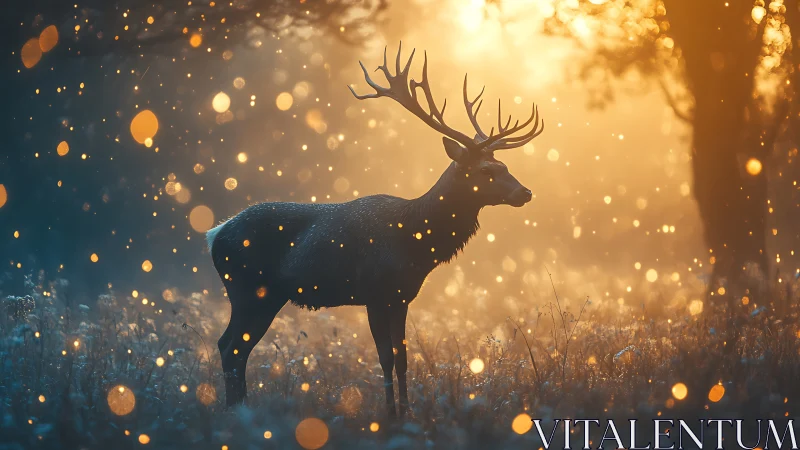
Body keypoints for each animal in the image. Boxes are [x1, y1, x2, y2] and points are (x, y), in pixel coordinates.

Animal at [206, 43, 543, 417]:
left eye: (505, 165)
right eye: (486, 170)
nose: (525, 192)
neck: (415, 241)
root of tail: (215, 234)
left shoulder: (402, 297)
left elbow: (403, 358)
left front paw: (407, 412)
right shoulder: (375, 292)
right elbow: (384, 358)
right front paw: (390, 414)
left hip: (267, 295)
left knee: (233, 346)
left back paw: (240, 409)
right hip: (246, 289)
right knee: (231, 347)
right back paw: (237, 412)